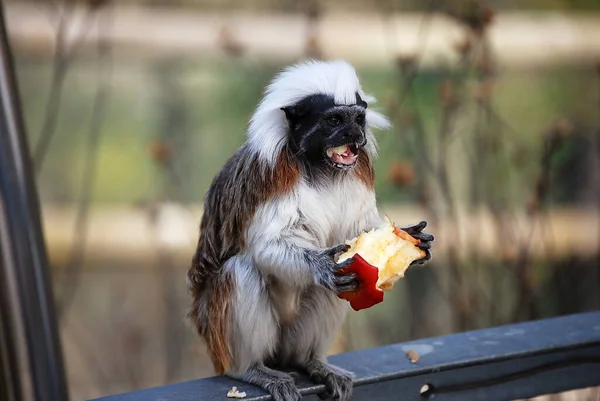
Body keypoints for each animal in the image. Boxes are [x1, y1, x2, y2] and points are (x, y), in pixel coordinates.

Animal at [188, 59, 432, 400]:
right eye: (334, 120)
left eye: (358, 119)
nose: (355, 134)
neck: (320, 167)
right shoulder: (271, 176)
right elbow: (266, 247)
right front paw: (321, 265)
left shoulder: (357, 173)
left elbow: (357, 229)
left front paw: (412, 238)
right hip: (216, 333)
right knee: (240, 271)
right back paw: (250, 368)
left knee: (336, 289)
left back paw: (309, 361)